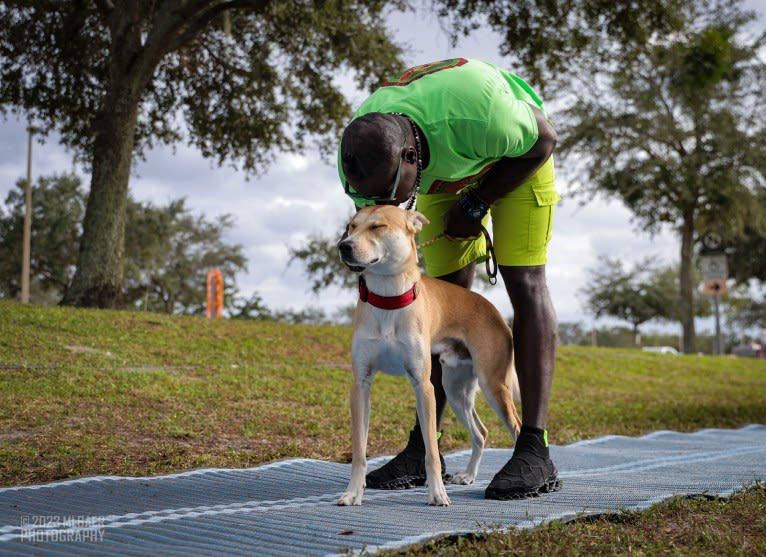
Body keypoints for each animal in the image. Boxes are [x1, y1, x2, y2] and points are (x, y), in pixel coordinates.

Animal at [336, 203, 520, 504]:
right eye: (351, 226)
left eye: (378, 226)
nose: (344, 246)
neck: (388, 298)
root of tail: (494, 310)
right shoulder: (361, 384)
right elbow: (360, 452)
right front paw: (353, 492)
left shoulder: (423, 385)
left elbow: (432, 451)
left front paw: (437, 493)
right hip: (457, 390)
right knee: (481, 433)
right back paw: (468, 476)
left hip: (493, 385)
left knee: (516, 428)